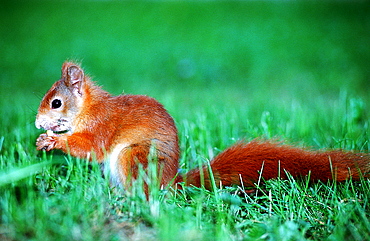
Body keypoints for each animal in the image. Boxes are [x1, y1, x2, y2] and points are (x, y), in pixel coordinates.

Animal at [35, 61, 370, 190]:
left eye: (56, 103)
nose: (37, 123)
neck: (89, 109)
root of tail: (170, 183)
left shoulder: (103, 125)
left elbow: (91, 147)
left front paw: (55, 141)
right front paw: (44, 140)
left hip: (135, 157)